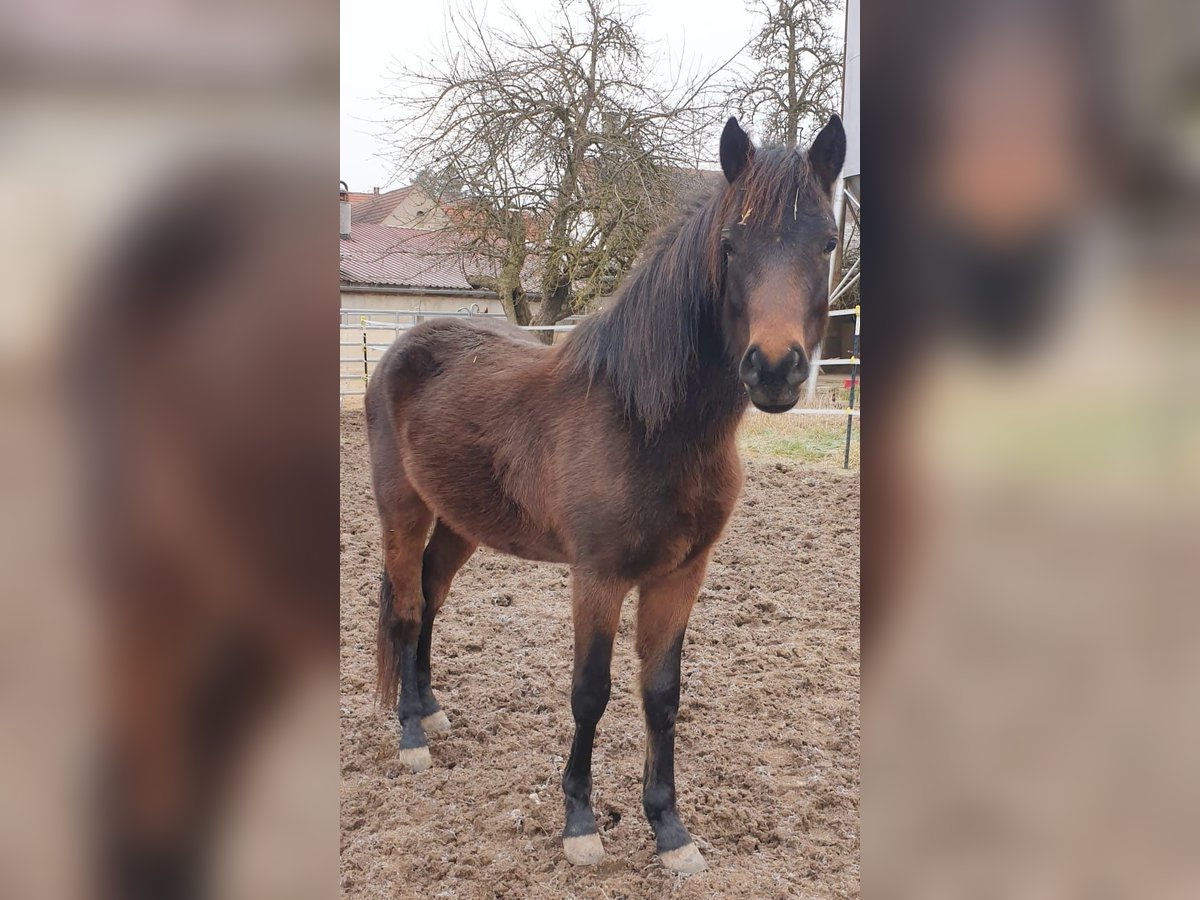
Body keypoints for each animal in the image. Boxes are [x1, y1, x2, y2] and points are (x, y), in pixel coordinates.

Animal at [364, 112, 844, 873]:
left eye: (827, 242)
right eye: (730, 245)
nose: (774, 368)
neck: (647, 423)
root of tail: (401, 351)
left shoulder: (681, 575)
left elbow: (662, 696)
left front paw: (670, 830)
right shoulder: (597, 576)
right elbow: (590, 694)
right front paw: (580, 825)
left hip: (462, 523)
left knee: (433, 600)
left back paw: (432, 708)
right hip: (402, 512)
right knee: (408, 610)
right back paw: (412, 737)